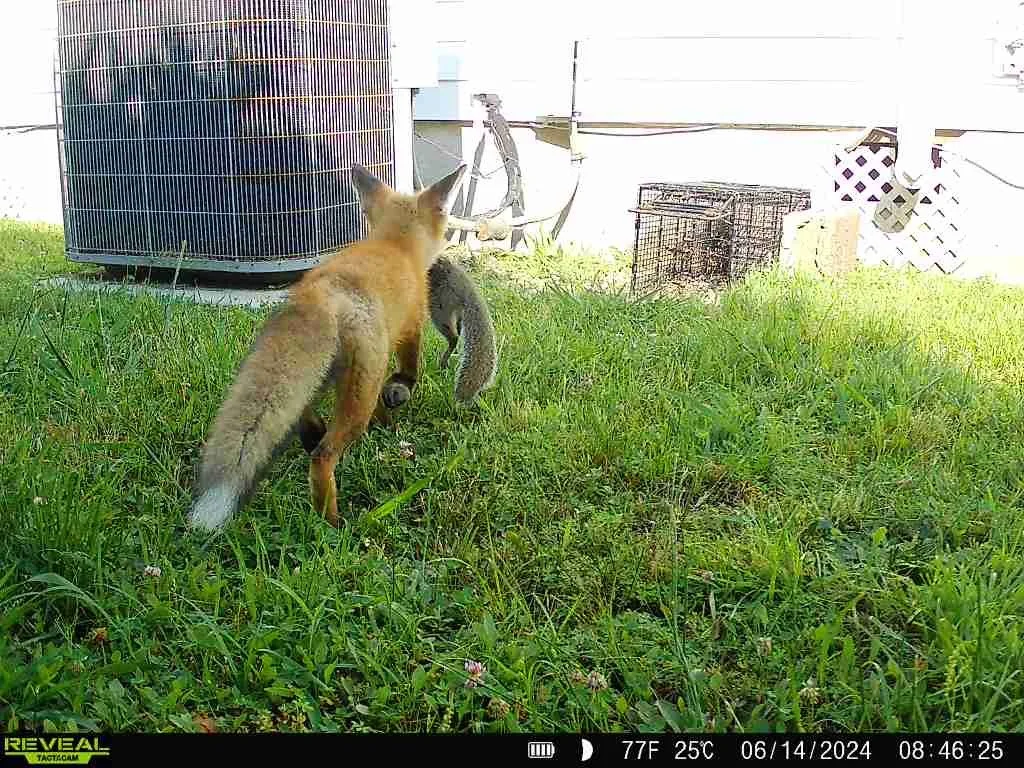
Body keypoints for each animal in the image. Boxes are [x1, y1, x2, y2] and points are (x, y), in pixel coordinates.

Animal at [186, 162, 467, 532]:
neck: (395, 245)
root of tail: (319, 295)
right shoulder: (409, 329)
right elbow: (409, 368)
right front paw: (393, 422)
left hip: (318, 380)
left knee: (303, 421)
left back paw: (313, 438)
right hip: (359, 392)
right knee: (324, 456)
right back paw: (333, 522)